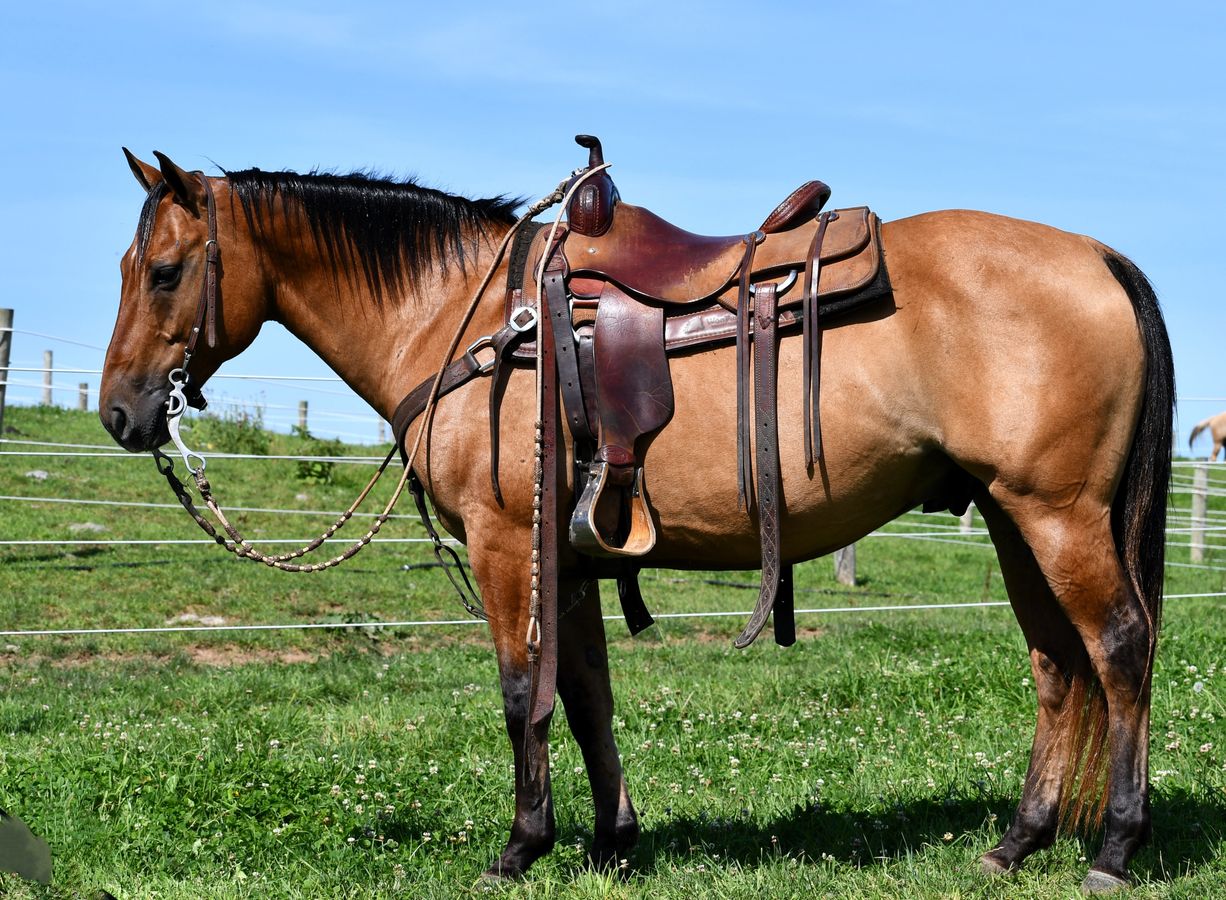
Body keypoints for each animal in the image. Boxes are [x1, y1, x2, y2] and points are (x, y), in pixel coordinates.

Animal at [100, 148, 1174, 894]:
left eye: (164, 271)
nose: (120, 413)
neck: (464, 319)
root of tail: (1098, 255)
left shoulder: (506, 547)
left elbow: (520, 694)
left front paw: (521, 847)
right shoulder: (570, 558)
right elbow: (586, 697)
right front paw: (614, 842)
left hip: (1057, 515)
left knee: (1119, 647)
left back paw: (1115, 846)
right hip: (1011, 516)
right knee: (1056, 662)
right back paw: (1017, 842)